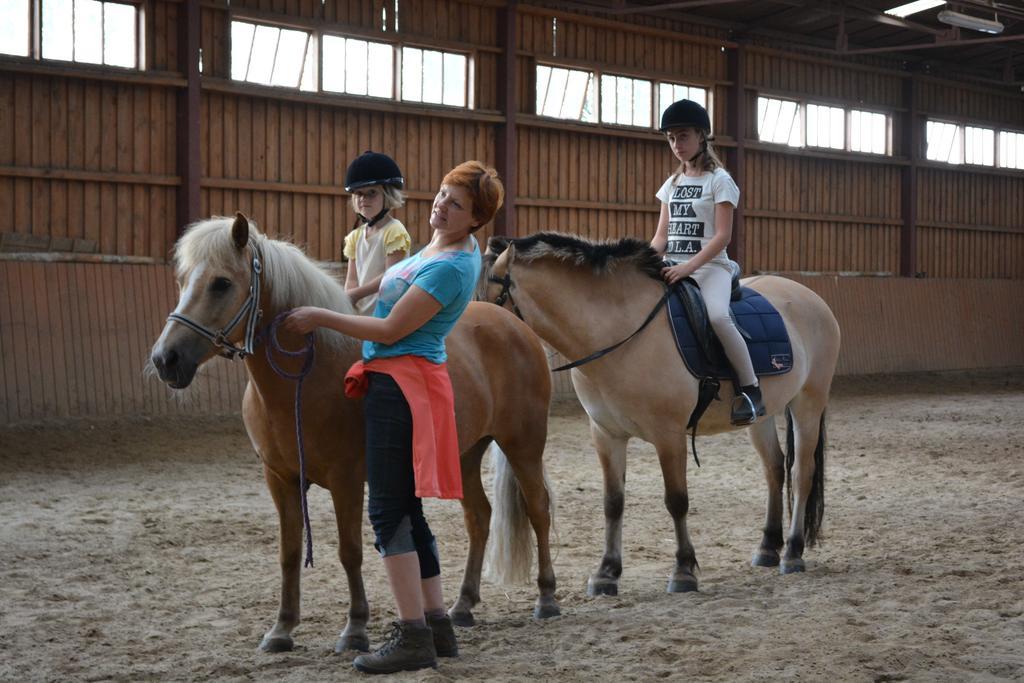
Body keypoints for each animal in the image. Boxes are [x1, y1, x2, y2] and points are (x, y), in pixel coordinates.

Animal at [485, 232, 839, 593]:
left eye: (492, 296)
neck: (621, 332)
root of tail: (809, 296)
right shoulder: (606, 434)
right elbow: (613, 502)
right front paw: (606, 572)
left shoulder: (669, 436)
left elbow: (676, 499)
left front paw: (683, 571)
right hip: (762, 417)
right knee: (774, 469)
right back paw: (768, 548)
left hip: (808, 404)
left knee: (801, 472)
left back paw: (792, 553)